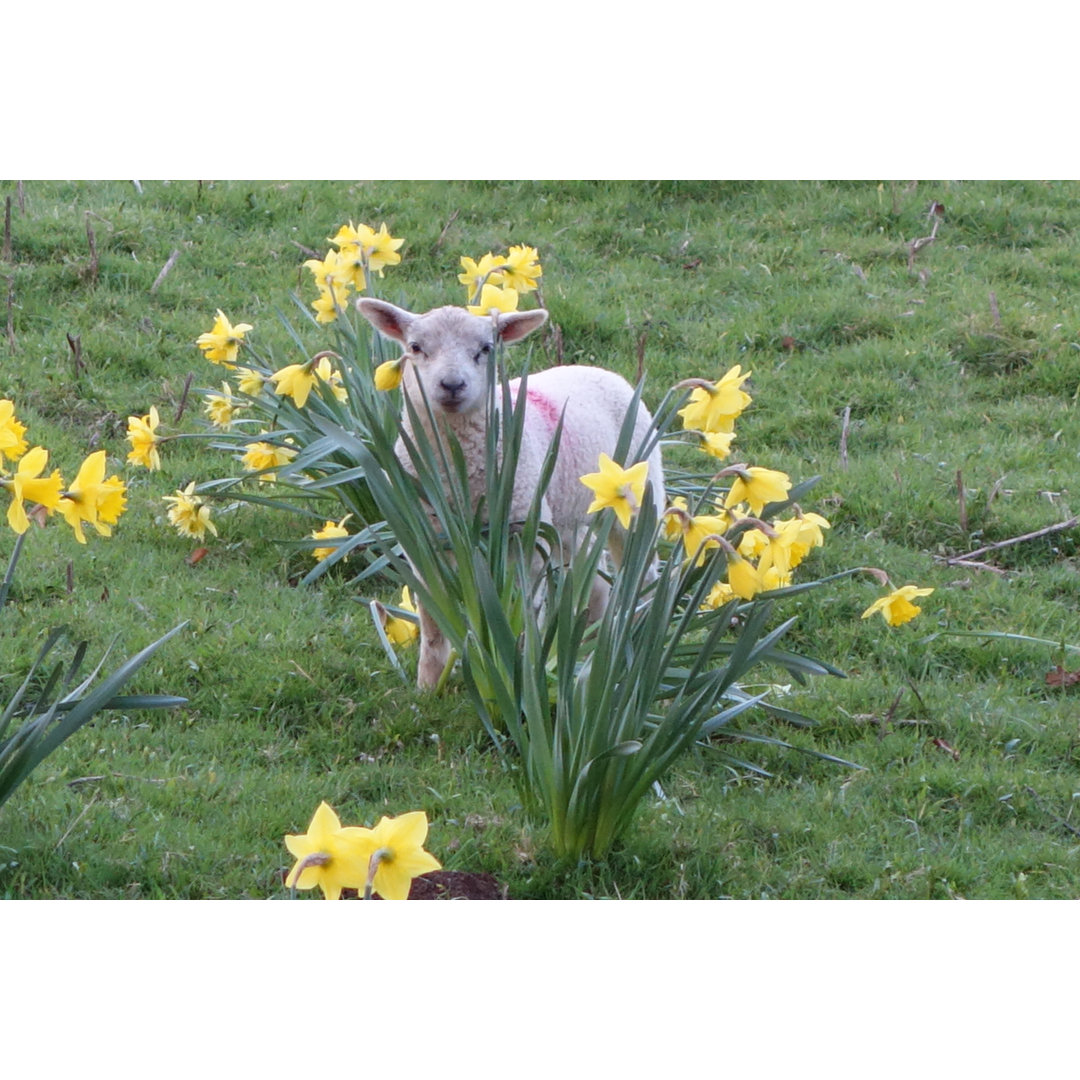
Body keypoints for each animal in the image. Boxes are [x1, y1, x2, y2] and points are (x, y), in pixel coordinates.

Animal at [358, 298, 660, 682]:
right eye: (415, 347)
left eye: (486, 349)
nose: (452, 384)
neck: (458, 473)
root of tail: (599, 371)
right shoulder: (423, 538)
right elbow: (432, 620)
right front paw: (428, 683)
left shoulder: (523, 536)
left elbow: (521, 608)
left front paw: (520, 665)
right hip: (565, 512)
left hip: (638, 494)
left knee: (643, 569)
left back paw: (635, 635)